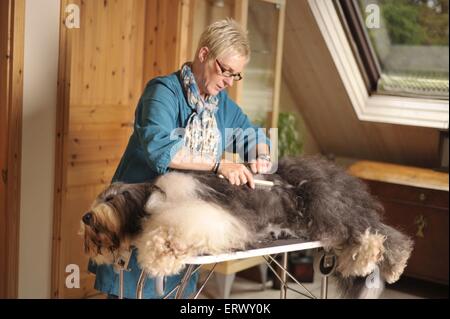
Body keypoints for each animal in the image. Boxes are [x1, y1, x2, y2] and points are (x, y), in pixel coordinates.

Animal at [80, 156, 412, 298]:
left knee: (378, 232)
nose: (86, 217)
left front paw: (160, 254)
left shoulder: (202, 214)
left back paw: (390, 263)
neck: (152, 198)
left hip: (328, 209)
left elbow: (170, 230)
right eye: (101, 196)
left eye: (112, 198)